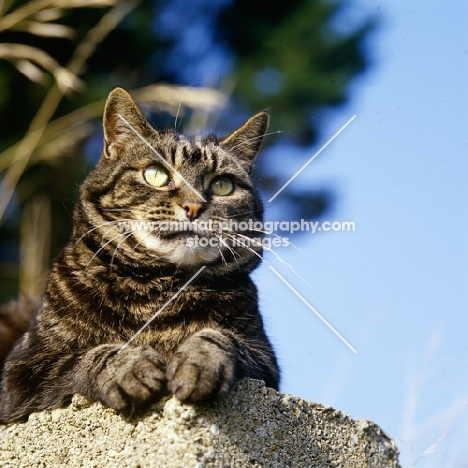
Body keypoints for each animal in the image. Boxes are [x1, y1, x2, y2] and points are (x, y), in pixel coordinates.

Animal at [0, 87, 278, 424]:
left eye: (222, 185)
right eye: (156, 175)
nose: (194, 206)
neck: (156, 289)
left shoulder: (264, 358)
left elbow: (221, 337)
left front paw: (199, 361)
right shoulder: (22, 374)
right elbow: (85, 356)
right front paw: (129, 366)